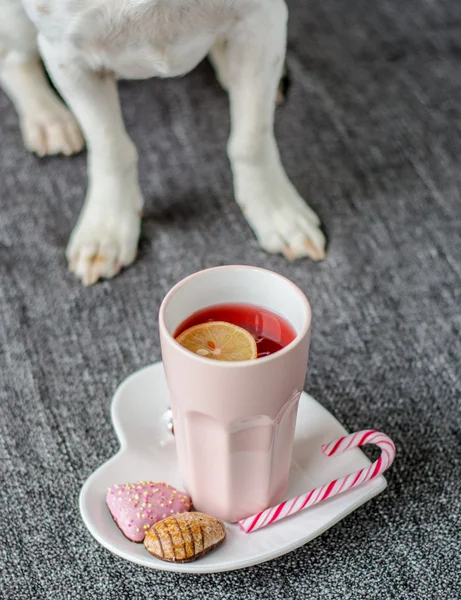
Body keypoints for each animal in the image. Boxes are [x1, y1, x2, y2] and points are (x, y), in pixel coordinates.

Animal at [0, 0, 324, 286]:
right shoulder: (69, 56)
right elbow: (111, 148)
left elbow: (251, 138)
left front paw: (275, 211)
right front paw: (108, 228)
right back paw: (48, 118)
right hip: (14, 19)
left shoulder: (261, 25)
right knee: (13, 61)